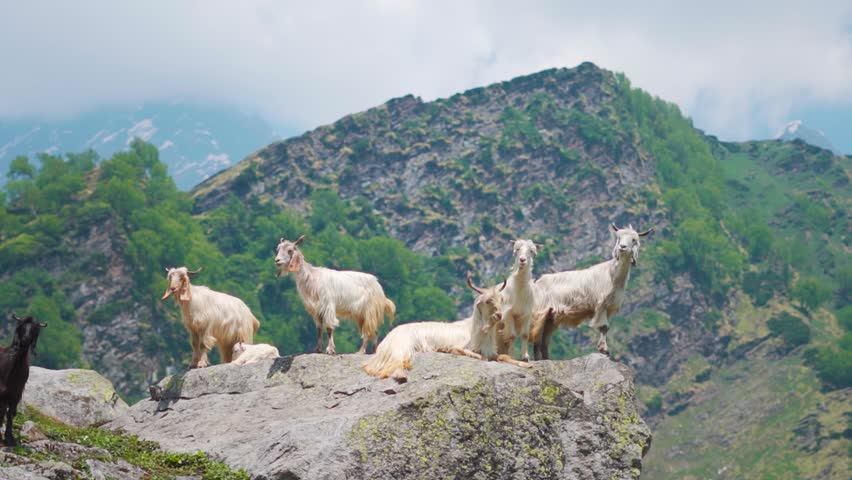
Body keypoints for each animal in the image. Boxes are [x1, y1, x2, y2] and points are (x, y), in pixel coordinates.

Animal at [0, 313, 46, 446]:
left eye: (35, 329)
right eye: (22, 326)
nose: (25, 339)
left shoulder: (16, 393)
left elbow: (11, 414)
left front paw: (10, 439)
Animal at [363, 274, 530, 382]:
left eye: (501, 299)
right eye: (488, 301)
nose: (499, 315)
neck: (475, 331)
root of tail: (390, 336)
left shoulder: (492, 352)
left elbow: (504, 357)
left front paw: (526, 364)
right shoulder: (458, 346)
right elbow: (476, 356)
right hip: (404, 346)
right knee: (398, 360)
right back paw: (400, 375)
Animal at [531, 224, 653, 359]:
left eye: (634, 240)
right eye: (619, 238)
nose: (622, 247)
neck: (612, 275)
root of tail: (537, 282)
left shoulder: (609, 307)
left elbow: (606, 328)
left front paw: (604, 349)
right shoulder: (601, 304)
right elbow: (604, 326)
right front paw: (604, 349)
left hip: (552, 318)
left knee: (544, 340)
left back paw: (546, 358)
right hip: (540, 313)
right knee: (536, 337)